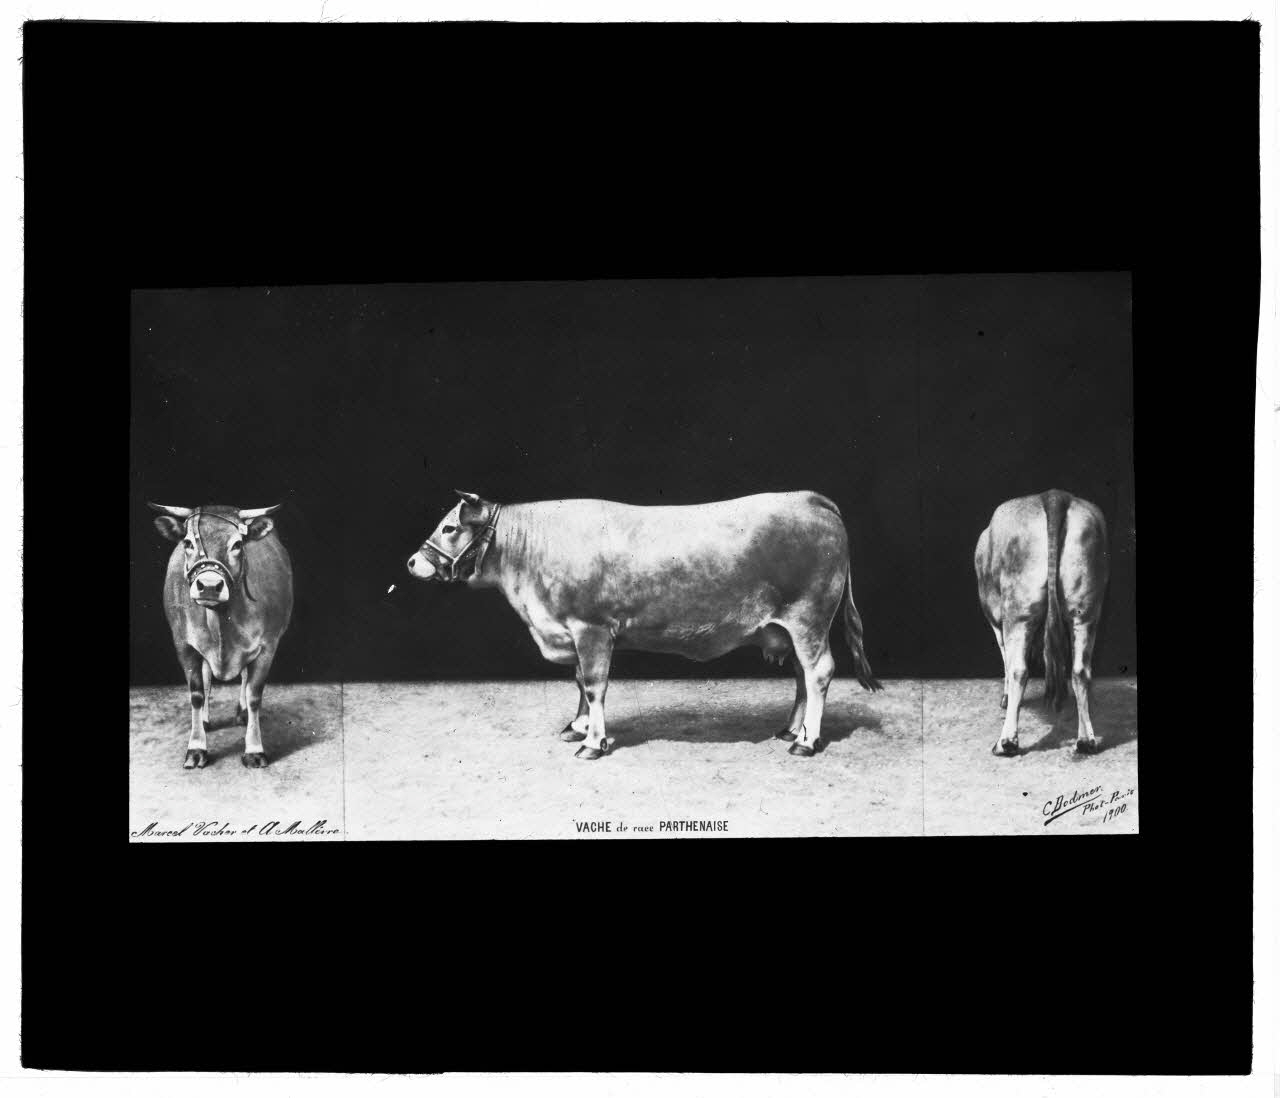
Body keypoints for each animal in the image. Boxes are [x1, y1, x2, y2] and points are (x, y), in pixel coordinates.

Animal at [149, 503, 294, 769]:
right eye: (188, 542)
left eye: (237, 544)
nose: (208, 585)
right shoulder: (184, 645)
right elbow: (196, 693)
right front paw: (196, 747)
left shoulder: (267, 646)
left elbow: (254, 695)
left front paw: (254, 749)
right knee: (207, 677)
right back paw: (205, 720)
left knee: (244, 678)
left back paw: (242, 713)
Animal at [405, 490, 881, 759]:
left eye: (449, 527)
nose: (411, 562)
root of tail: (811, 498)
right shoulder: (575, 633)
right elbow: (579, 682)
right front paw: (577, 727)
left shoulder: (592, 628)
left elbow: (593, 685)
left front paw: (593, 742)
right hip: (792, 627)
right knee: (802, 675)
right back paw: (792, 729)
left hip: (808, 618)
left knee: (818, 672)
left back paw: (807, 741)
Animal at [974, 489, 1110, 756]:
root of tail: (1054, 495)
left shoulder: (996, 618)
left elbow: (1005, 657)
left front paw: (1006, 698)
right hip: (1086, 610)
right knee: (1081, 670)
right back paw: (1086, 740)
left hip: (1018, 610)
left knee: (1018, 669)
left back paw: (1006, 742)